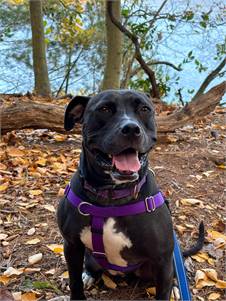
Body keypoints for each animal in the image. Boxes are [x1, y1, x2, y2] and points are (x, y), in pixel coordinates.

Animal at [57, 89, 202, 300]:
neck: (111, 196)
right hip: (91, 257)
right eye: (104, 109)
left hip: (168, 263)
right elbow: (74, 282)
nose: (132, 129)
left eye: (144, 109)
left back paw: (176, 287)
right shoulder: (72, 245)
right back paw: (89, 275)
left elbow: (163, 292)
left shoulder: (163, 260)